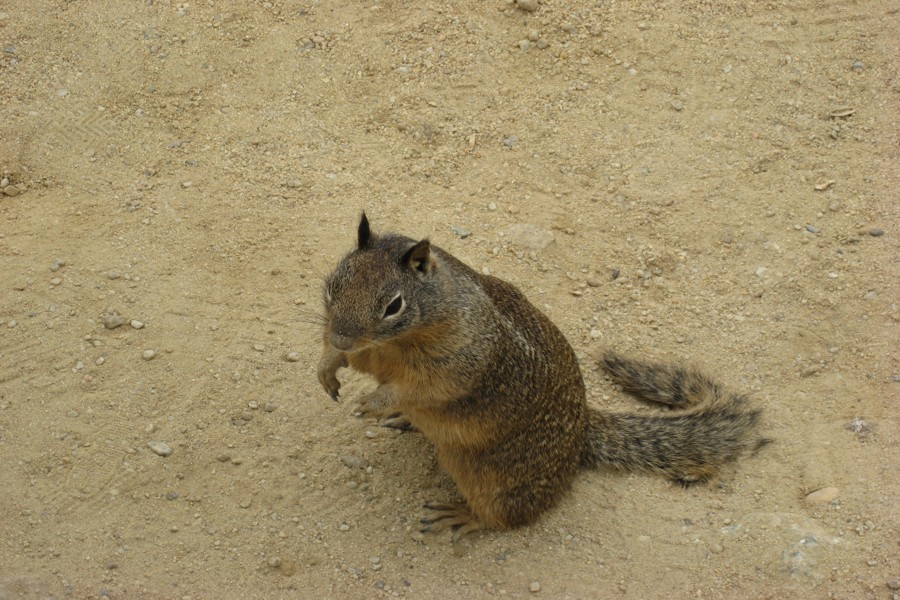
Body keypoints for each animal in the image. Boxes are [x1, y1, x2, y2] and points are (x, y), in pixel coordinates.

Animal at [316, 214, 768, 540]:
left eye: (394, 305)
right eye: (333, 285)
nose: (341, 335)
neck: (394, 342)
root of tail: (583, 428)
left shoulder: (456, 362)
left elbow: (420, 389)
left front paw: (372, 402)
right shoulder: (367, 351)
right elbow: (349, 362)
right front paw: (328, 367)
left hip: (495, 481)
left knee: (507, 516)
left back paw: (461, 515)